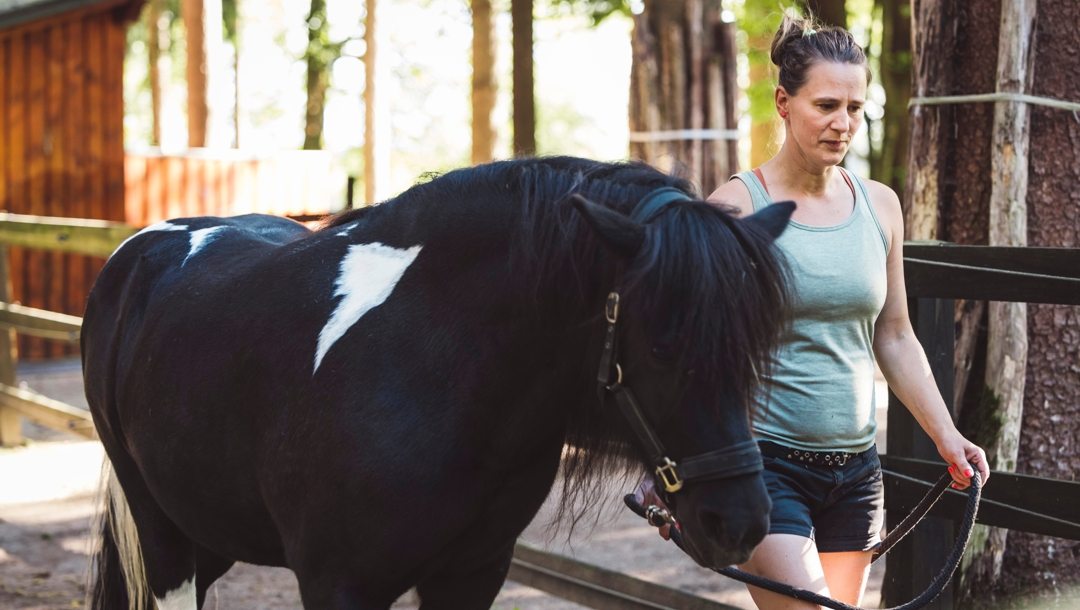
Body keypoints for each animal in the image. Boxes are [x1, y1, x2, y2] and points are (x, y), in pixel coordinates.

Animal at [82, 156, 794, 609]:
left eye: (754, 351)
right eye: (662, 345)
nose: (738, 522)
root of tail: (138, 254)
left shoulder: (472, 574)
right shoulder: (336, 584)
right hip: (163, 531)